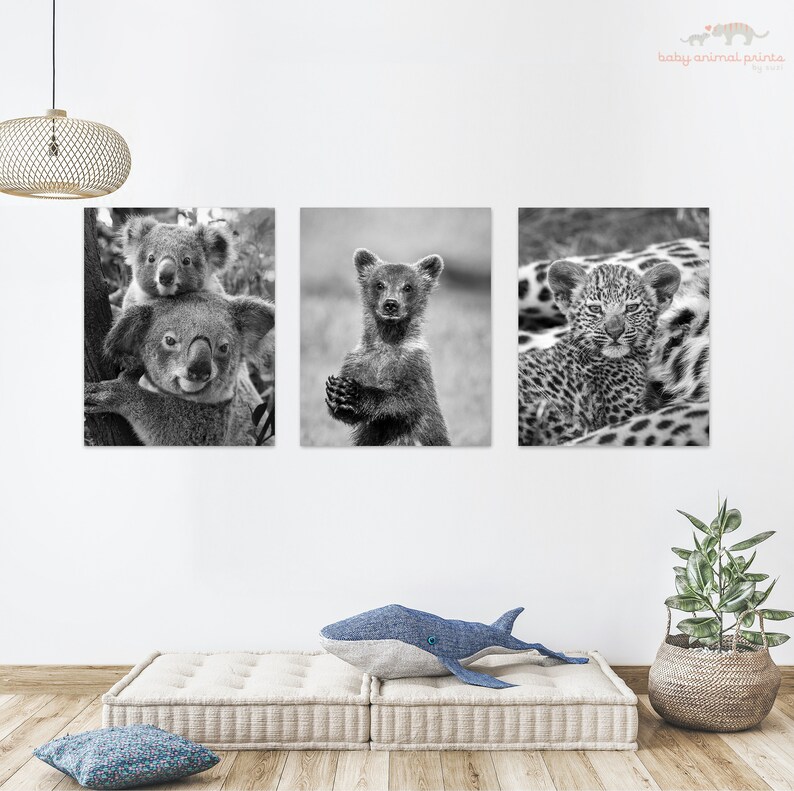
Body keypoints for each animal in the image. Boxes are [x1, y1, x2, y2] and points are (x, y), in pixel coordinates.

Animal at [325, 248, 450, 446]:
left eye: (407, 287)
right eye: (379, 284)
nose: (391, 304)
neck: (387, 343)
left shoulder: (413, 364)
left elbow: (408, 399)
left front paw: (353, 392)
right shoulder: (360, 361)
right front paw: (338, 393)